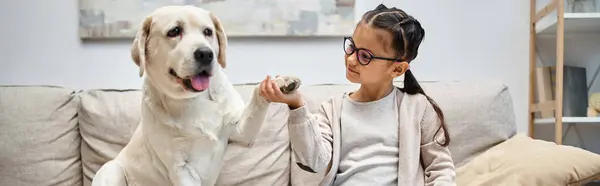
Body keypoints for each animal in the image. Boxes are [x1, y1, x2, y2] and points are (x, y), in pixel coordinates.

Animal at [90, 5, 300, 185]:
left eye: (208, 32)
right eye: (174, 31)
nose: (206, 54)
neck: (193, 101)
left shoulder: (241, 132)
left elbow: (257, 94)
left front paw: (280, 83)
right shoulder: (181, 168)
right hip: (111, 170)